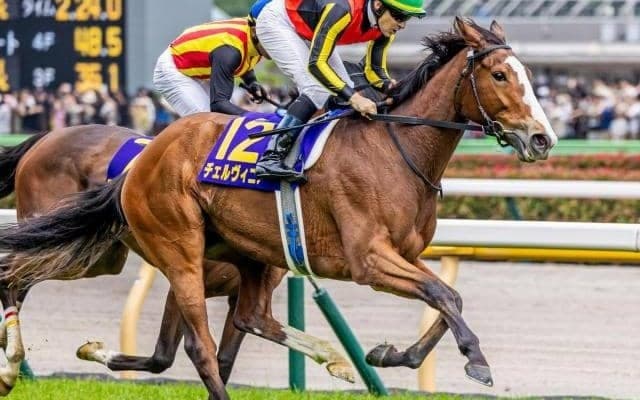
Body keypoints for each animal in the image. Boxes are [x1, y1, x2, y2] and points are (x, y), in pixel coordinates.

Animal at [0, 126, 287, 394]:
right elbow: (168, 355)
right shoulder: (186, 278)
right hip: (57, 238)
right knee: (9, 272)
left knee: (19, 279)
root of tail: (46, 137)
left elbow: (223, 360)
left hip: (93, 256)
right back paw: (11, 361)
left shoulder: (238, 296)